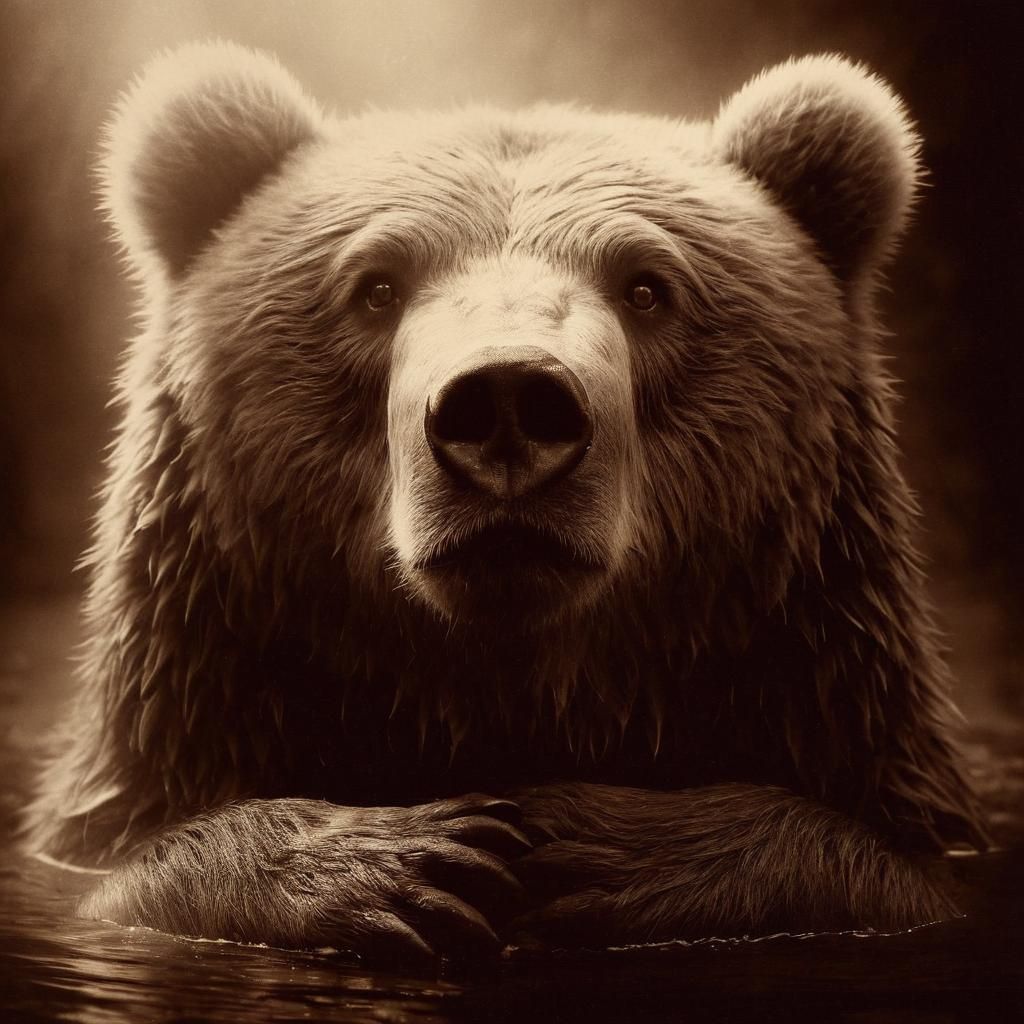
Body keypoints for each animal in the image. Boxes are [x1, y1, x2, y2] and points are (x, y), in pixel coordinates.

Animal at [23, 42, 987, 960]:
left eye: (648, 286)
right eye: (375, 285)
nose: (509, 401)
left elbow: (875, 871)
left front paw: (595, 849)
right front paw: (411, 861)